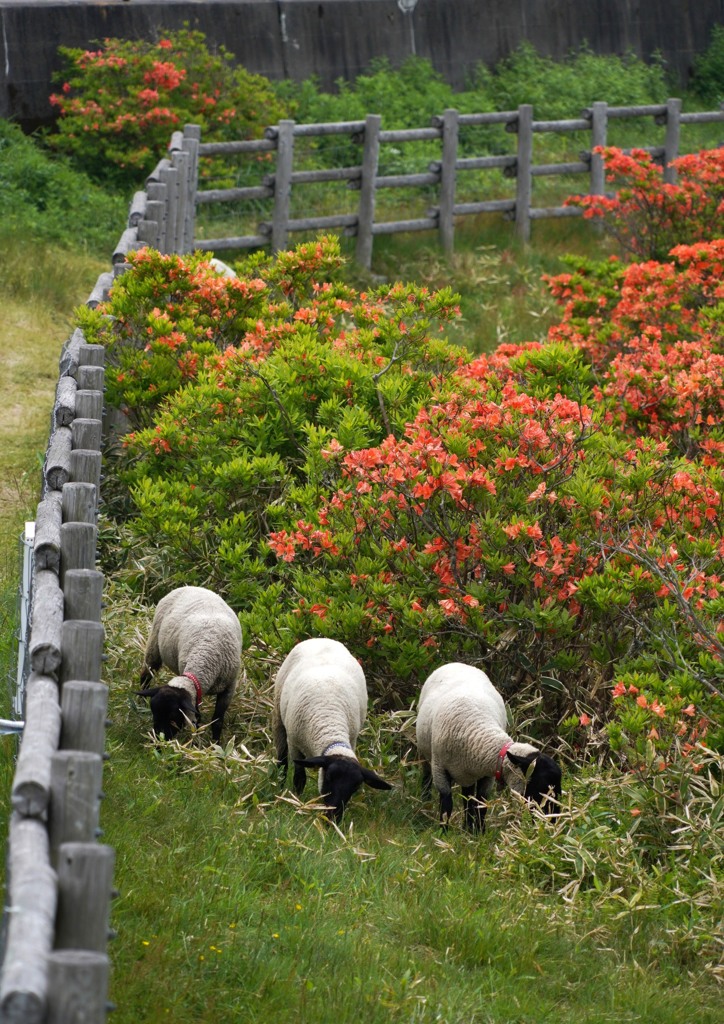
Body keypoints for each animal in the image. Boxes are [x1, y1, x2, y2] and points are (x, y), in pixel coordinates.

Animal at [133, 585, 240, 745]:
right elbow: (196, 719)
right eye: (154, 714)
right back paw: (141, 701)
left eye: (173, 716)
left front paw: (216, 744)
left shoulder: (229, 688)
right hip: (154, 643)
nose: (159, 742)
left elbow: (217, 721)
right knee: (146, 674)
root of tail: (191, 586)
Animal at [272, 634, 391, 819]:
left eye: (355, 787)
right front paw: (297, 800)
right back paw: (279, 782)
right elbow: (299, 778)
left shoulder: (352, 739)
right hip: (279, 715)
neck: (330, 726)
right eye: (329, 777)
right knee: (282, 757)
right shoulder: (295, 743)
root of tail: (322, 639)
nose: (333, 816)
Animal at [415, 663, 565, 831]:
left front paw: (478, 831)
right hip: (427, 755)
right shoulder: (440, 770)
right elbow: (447, 805)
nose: (553, 821)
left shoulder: (487, 774)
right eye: (541, 785)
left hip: (468, 772)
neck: (479, 733)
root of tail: (457, 664)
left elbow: (481, 803)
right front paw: (444, 831)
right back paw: (425, 802)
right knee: (427, 776)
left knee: (468, 796)